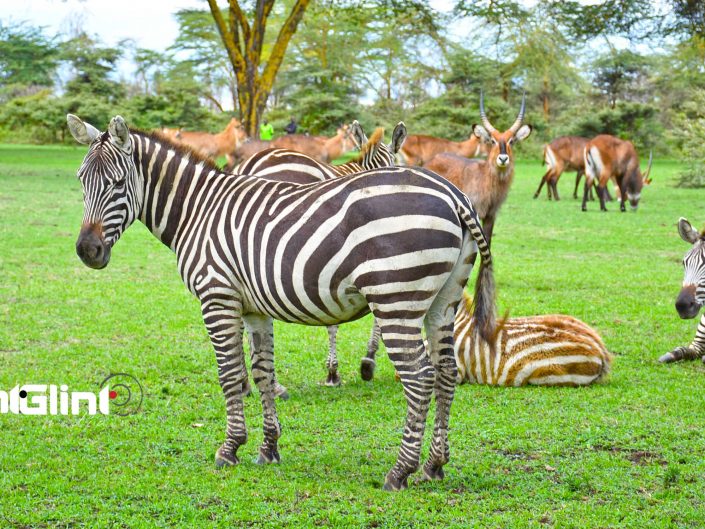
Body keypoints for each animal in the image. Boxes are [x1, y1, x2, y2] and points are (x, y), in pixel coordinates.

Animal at [420, 92, 532, 244]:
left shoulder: (491, 216)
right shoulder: (475, 214)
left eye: (512, 141)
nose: (503, 158)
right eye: (493, 141)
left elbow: (488, 242)